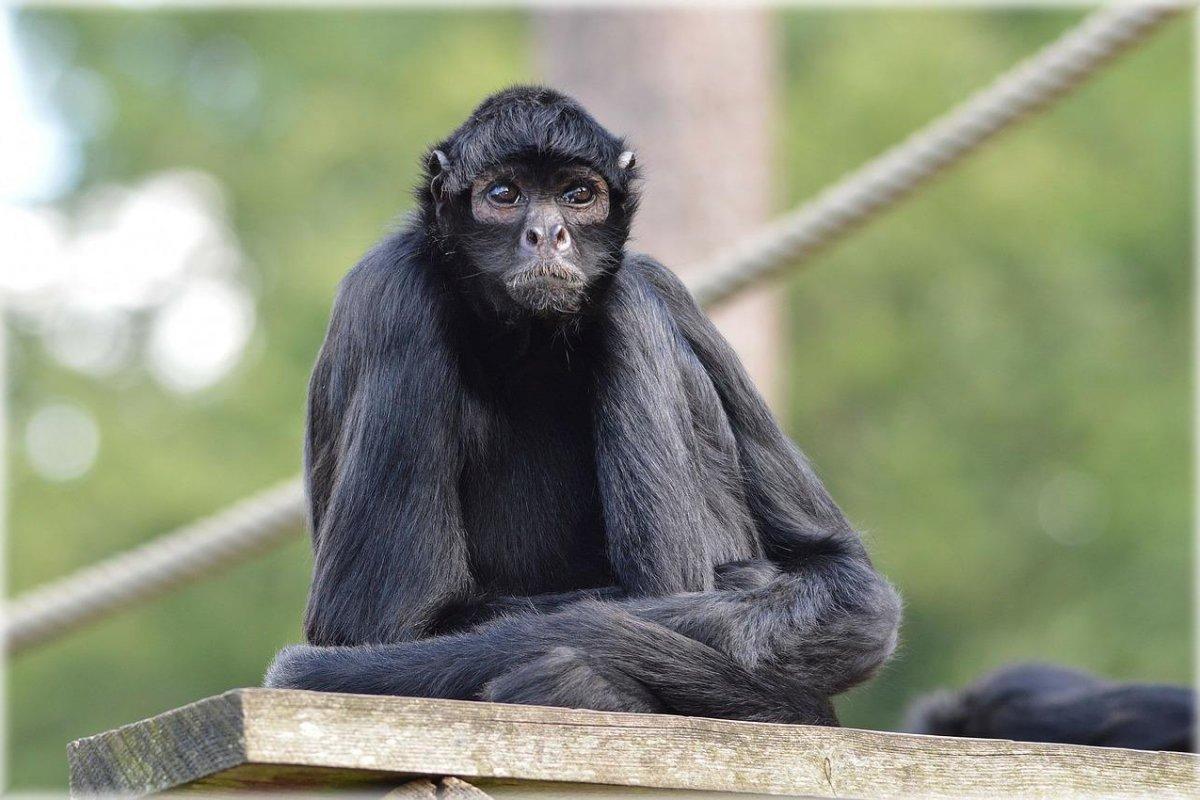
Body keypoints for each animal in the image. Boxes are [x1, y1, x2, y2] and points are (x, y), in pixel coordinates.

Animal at [265, 87, 902, 724]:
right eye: (505, 194)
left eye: (577, 195)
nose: (548, 232)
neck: (528, 344)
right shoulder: (393, 299)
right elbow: (379, 626)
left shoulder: (663, 281)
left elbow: (849, 583)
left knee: (626, 299)